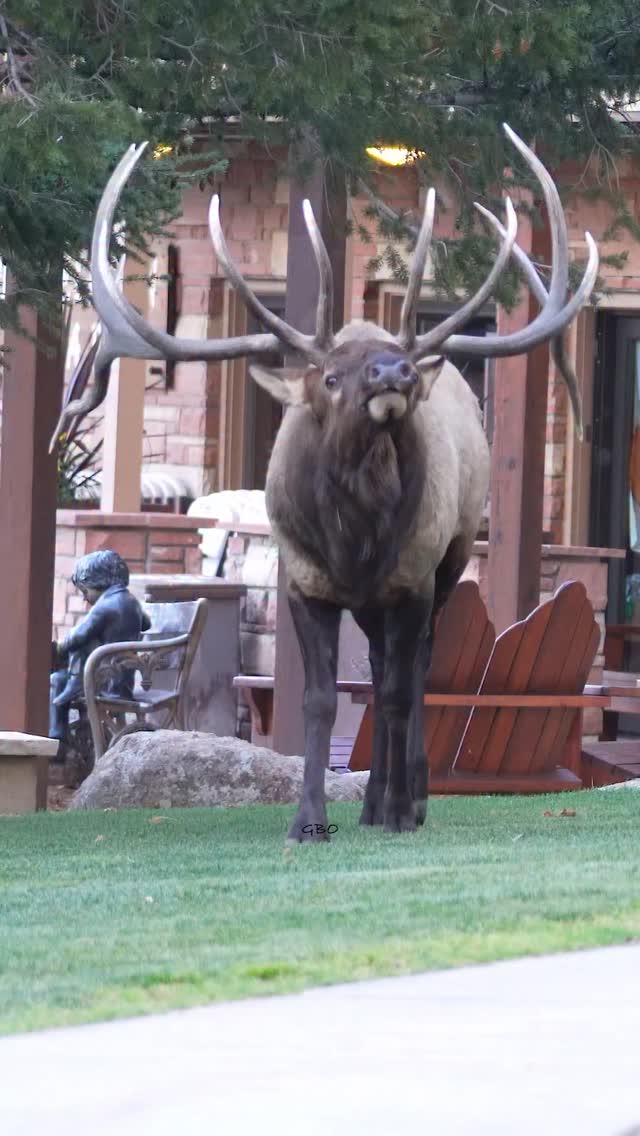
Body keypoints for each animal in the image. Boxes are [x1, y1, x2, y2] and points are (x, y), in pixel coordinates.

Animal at [59, 125, 598, 841]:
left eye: (389, 370)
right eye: (333, 377)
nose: (396, 372)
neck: (356, 542)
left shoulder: (413, 577)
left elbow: (397, 691)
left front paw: (397, 809)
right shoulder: (306, 582)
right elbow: (318, 701)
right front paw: (309, 819)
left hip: (449, 561)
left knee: (414, 671)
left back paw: (408, 797)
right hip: (370, 602)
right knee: (379, 670)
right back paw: (370, 803)